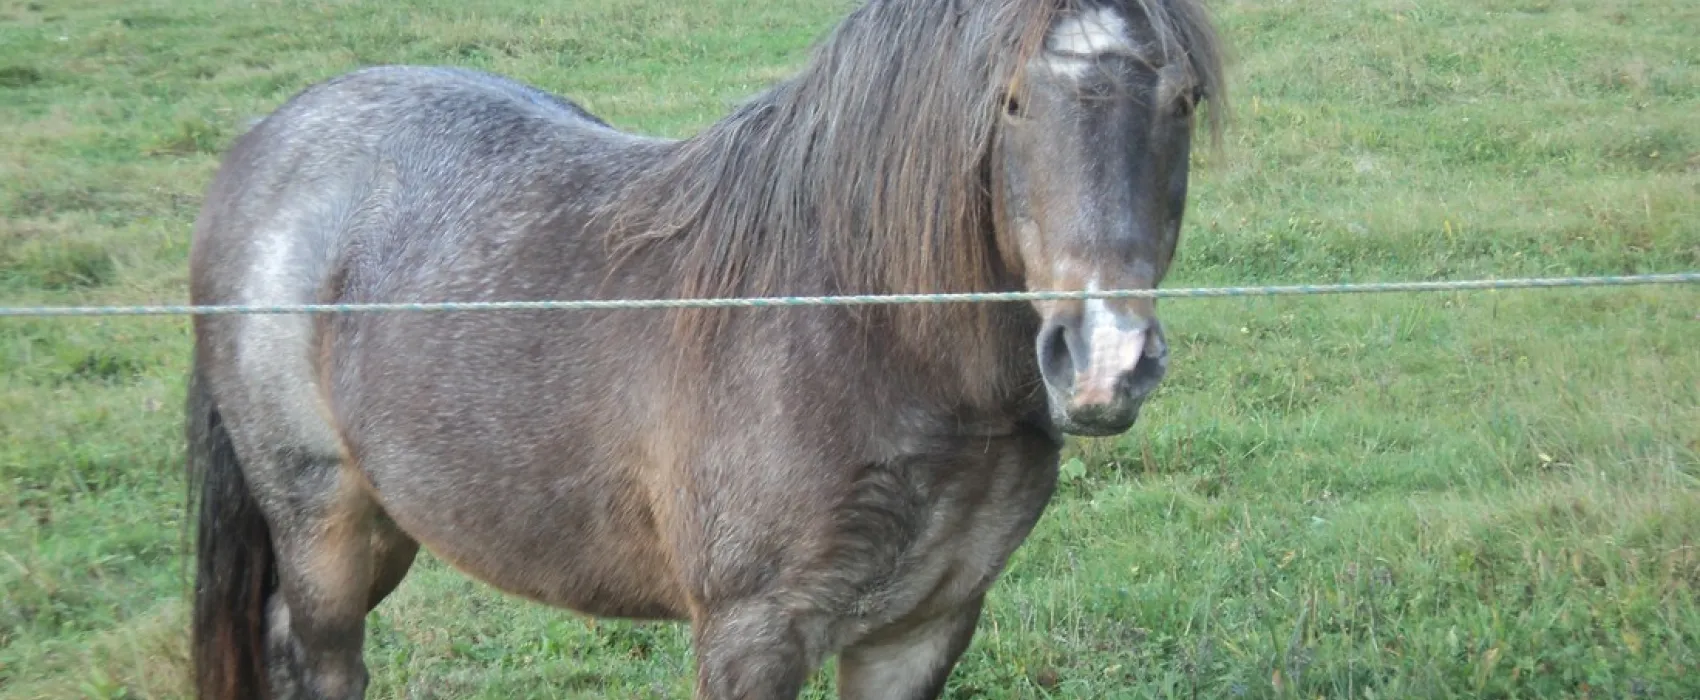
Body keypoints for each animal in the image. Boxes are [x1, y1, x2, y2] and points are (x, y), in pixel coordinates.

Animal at [183, 0, 1227, 697]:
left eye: (1181, 101)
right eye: (1010, 102)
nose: (1105, 359)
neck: (862, 337)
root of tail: (269, 138)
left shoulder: (923, 628)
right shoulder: (749, 635)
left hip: (389, 524)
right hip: (317, 517)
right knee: (321, 660)